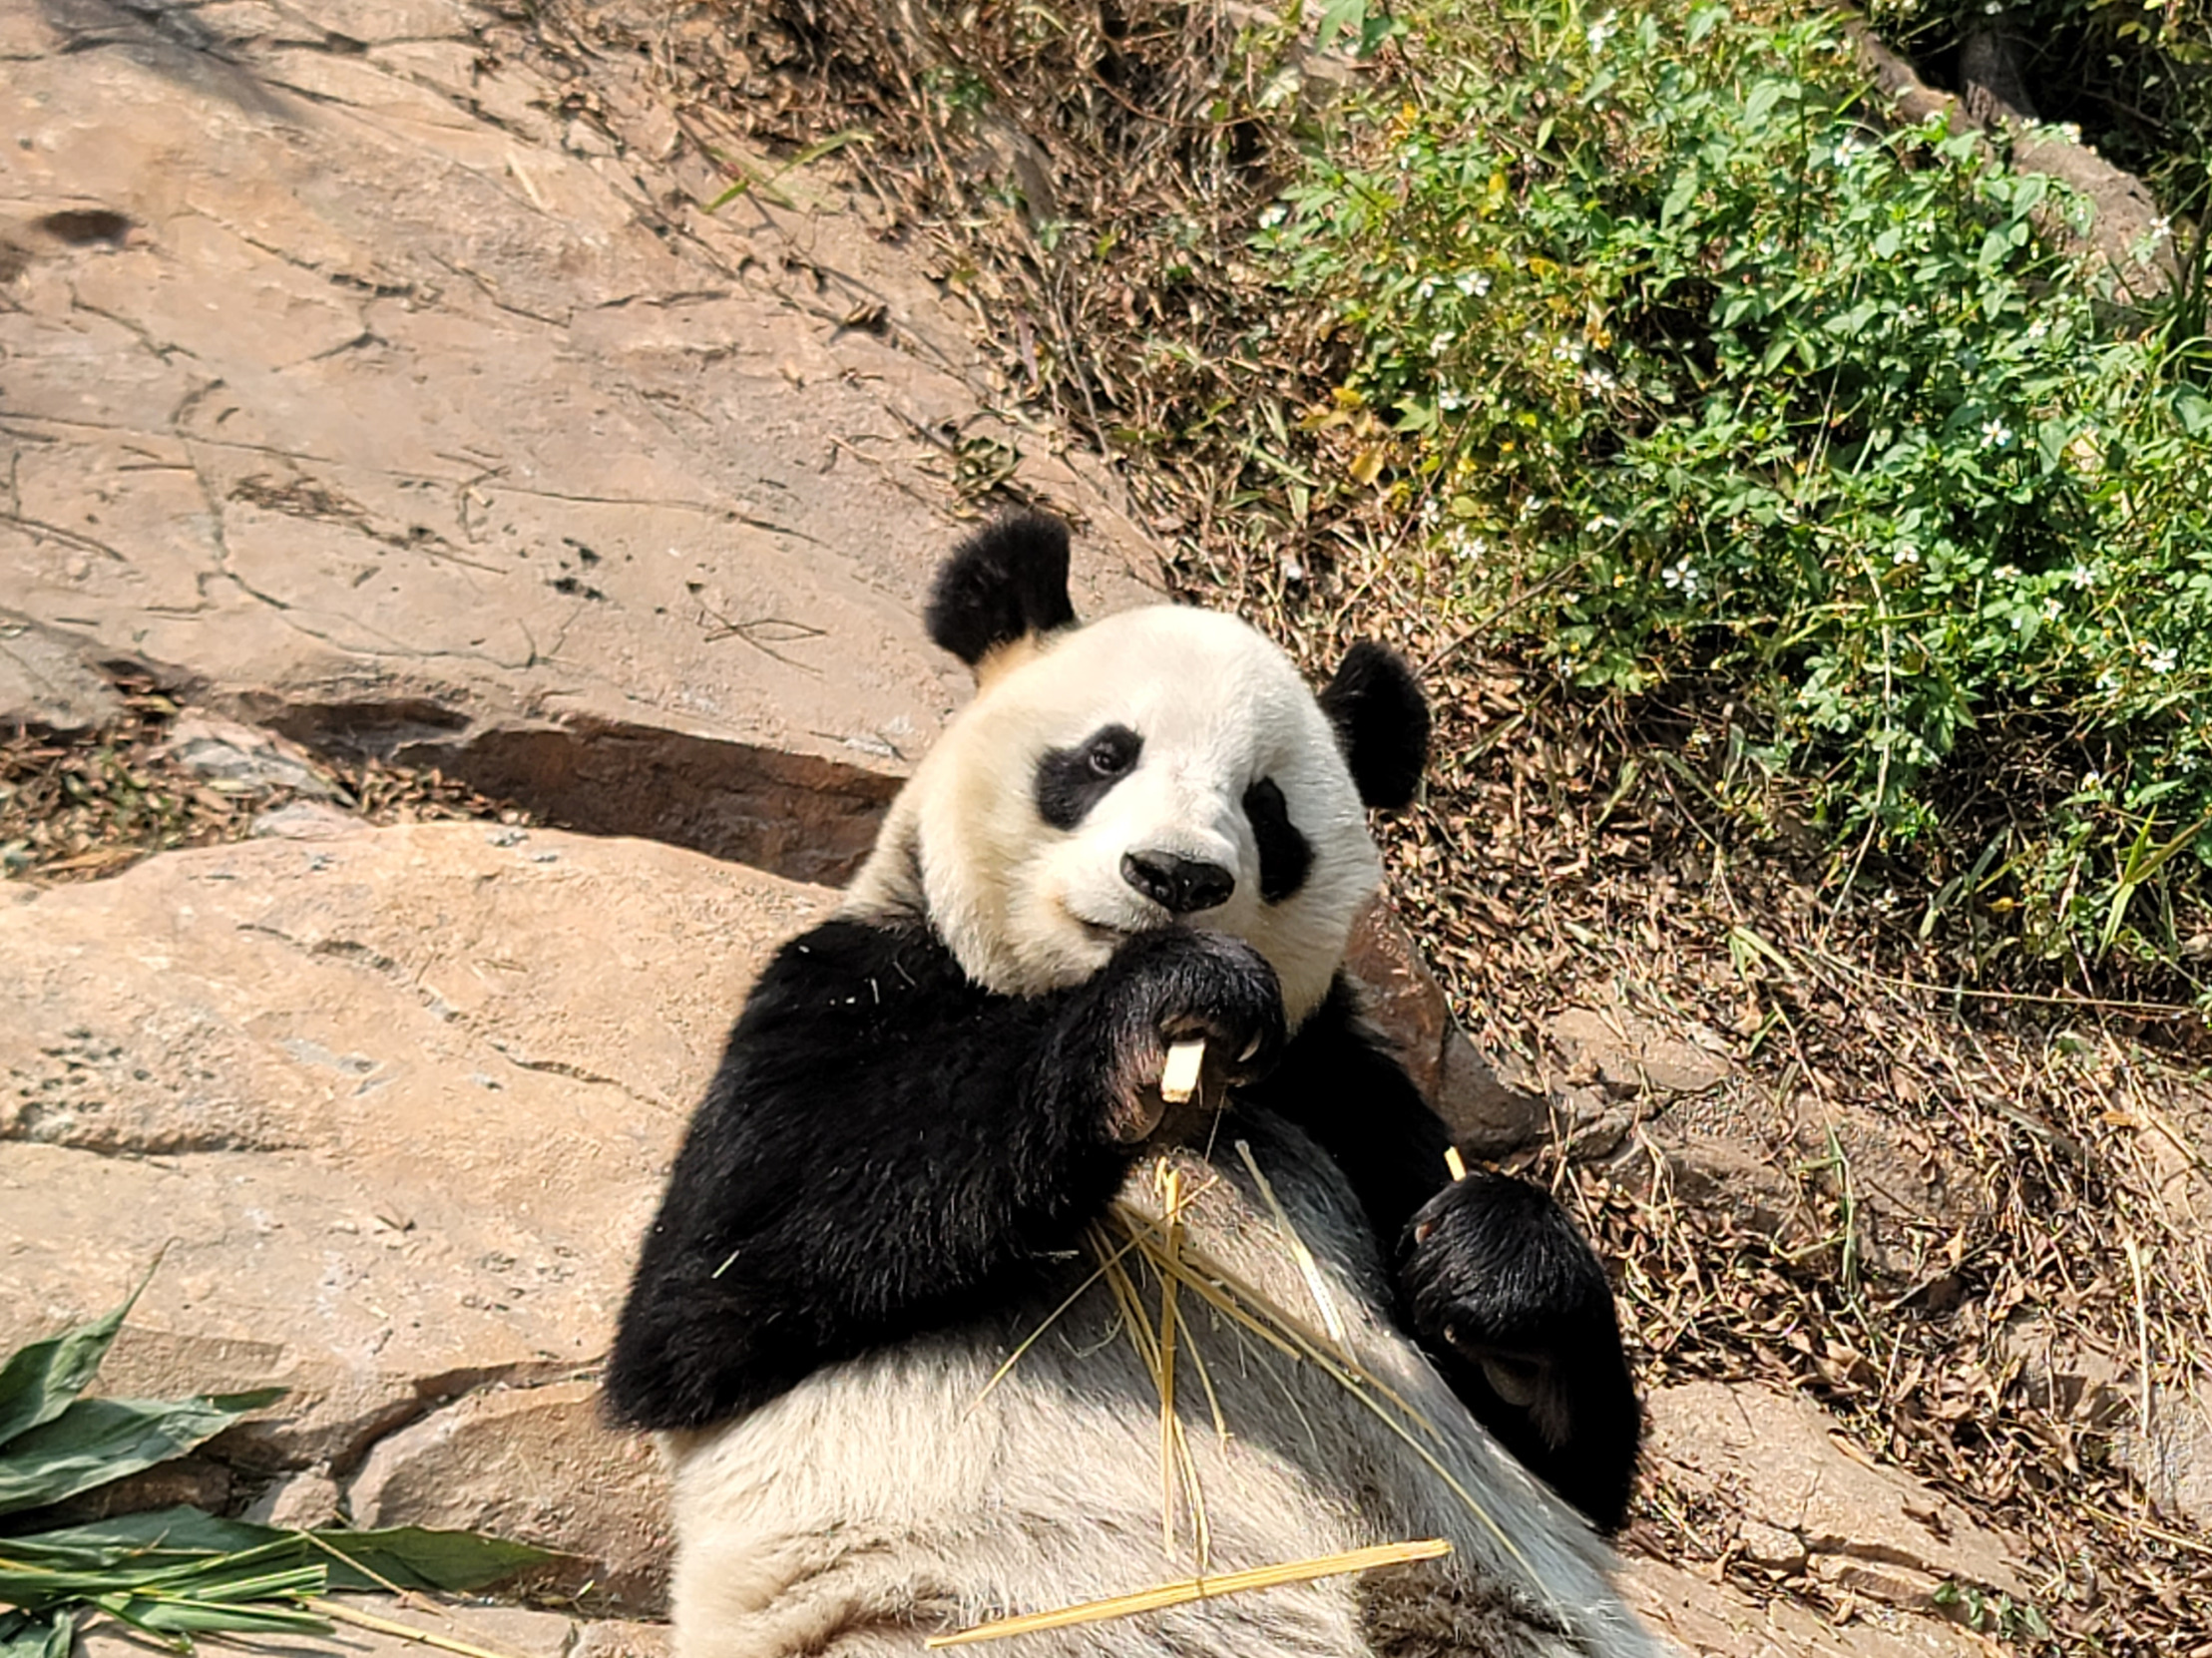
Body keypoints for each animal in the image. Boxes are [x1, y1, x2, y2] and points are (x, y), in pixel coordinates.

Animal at [606, 519, 1663, 1658]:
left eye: (1267, 810)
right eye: (1105, 756)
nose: (1175, 878)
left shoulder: (1343, 1092)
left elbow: (1573, 1465)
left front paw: (1486, 1264)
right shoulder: (844, 981)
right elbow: (710, 1295)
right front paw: (1155, 1012)